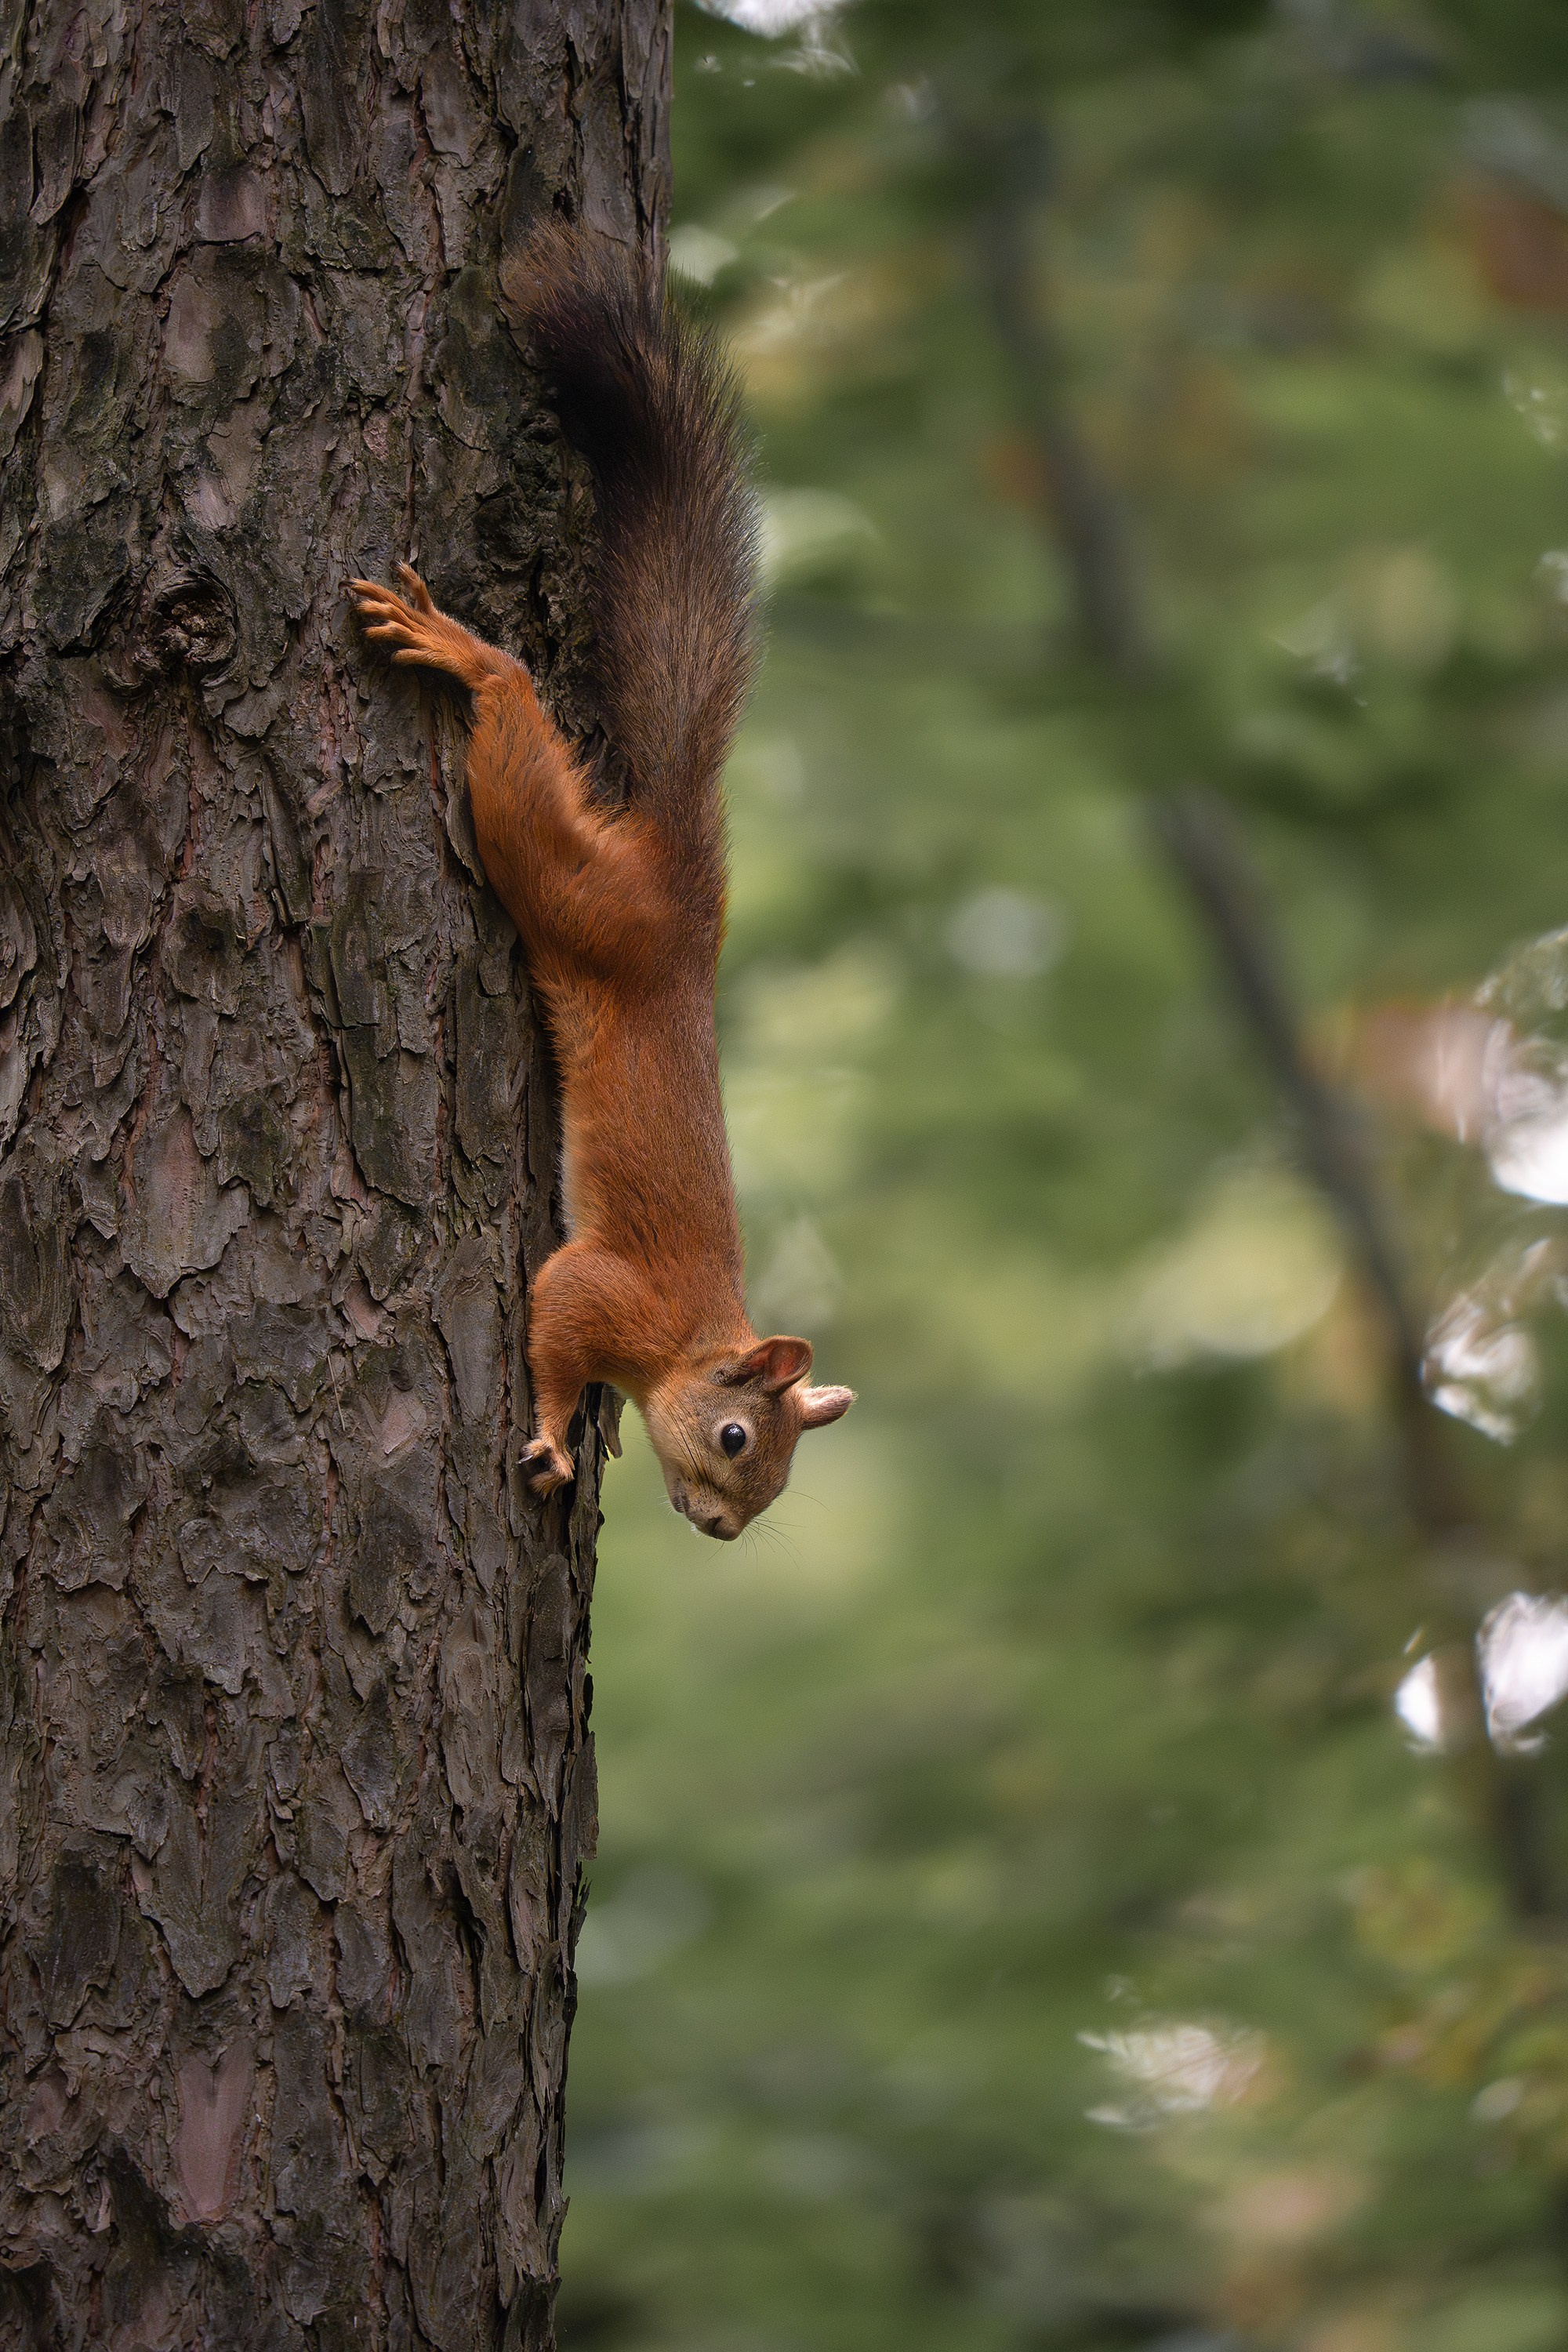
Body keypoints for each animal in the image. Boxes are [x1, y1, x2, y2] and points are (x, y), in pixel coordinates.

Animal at [350, 223, 853, 1540]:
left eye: (779, 1482)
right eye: (736, 1437)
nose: (721, 1527)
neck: (689, 1338)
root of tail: (684, 891)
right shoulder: (601, 1290)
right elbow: (556, 1330)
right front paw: (549, 1434)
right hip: (570, 883)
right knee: (515, 733)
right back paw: (468, 655)